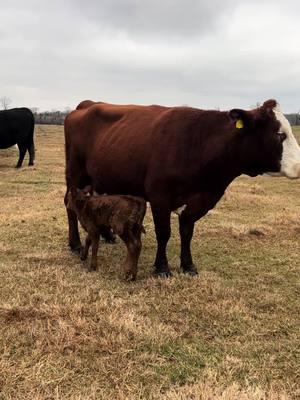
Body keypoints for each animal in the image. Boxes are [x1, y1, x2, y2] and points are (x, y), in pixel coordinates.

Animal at [63, 98, 300, 276]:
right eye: (279, 134)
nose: (299, 165)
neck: (197, 143)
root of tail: (87, 104)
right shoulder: (159, 196)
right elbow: (164, 233)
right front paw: (162, 267)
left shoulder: (199, 199)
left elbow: (187, 232)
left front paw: (188, 265)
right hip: (75, 175)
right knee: (70, 205)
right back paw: (75, 244)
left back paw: (107, 236)